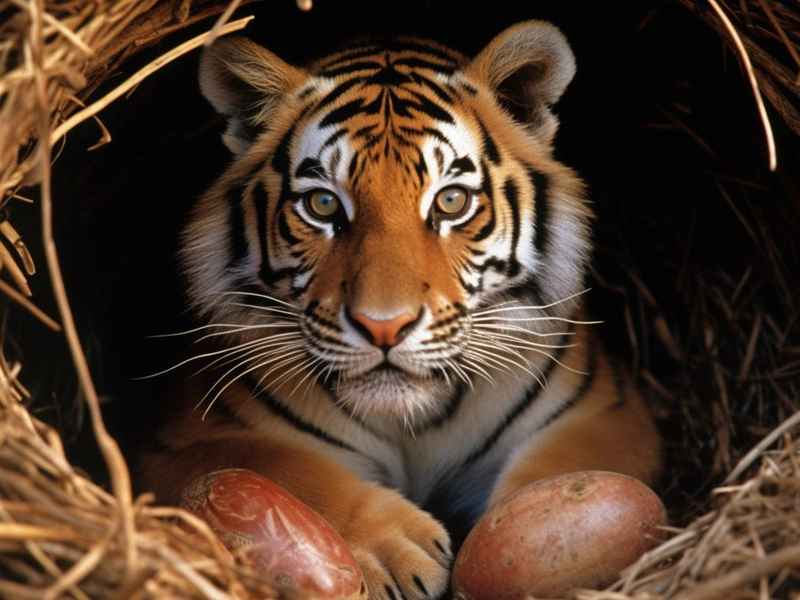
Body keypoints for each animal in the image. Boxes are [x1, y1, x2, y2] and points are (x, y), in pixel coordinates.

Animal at [139, 21, 661, 600]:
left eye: (451, 201)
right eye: (322, 204)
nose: (383, 327)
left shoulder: (607, 415)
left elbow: (560, 474)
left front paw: (529, 542)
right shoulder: (181, 443)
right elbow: (291, 468)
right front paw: (394, 547)